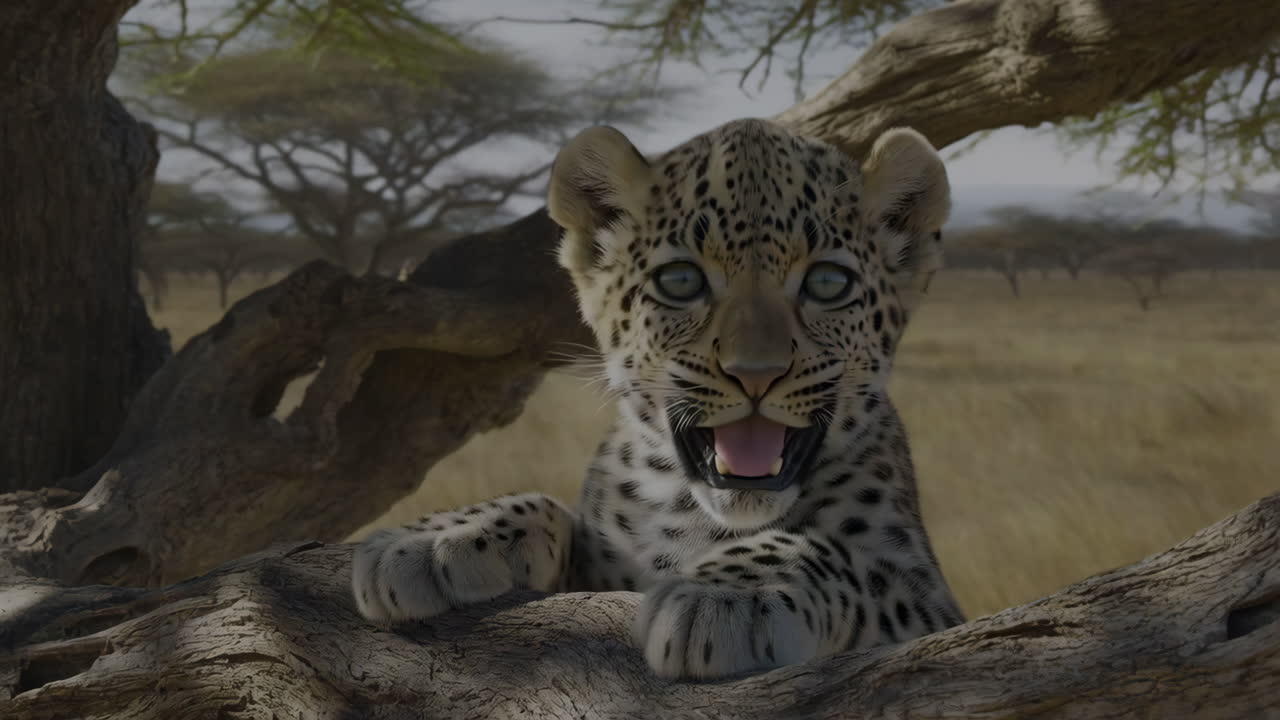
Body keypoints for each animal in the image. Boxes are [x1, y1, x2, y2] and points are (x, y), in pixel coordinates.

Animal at [351, 117, 965, 680]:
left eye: (828, 285)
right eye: (681, 281)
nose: (756, 374)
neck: (693, 514)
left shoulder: (932, 606)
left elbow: (837, 553)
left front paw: (732, 596)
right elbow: (550, 506)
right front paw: (434, 541)